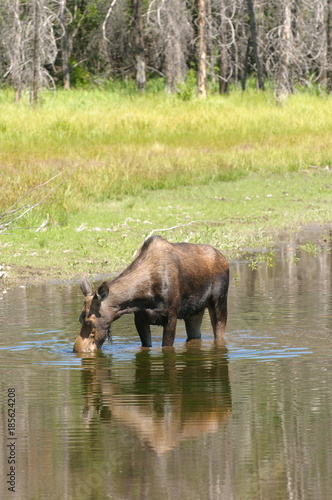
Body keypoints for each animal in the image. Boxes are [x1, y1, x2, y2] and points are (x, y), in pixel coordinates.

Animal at [73, 234, 230, 352]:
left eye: (89, 321)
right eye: (80, 319)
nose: (77, 350)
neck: (144, 297)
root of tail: (225, 259)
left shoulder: (171, 316)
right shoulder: (140, 319)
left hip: (219, 302)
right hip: (194, 312)